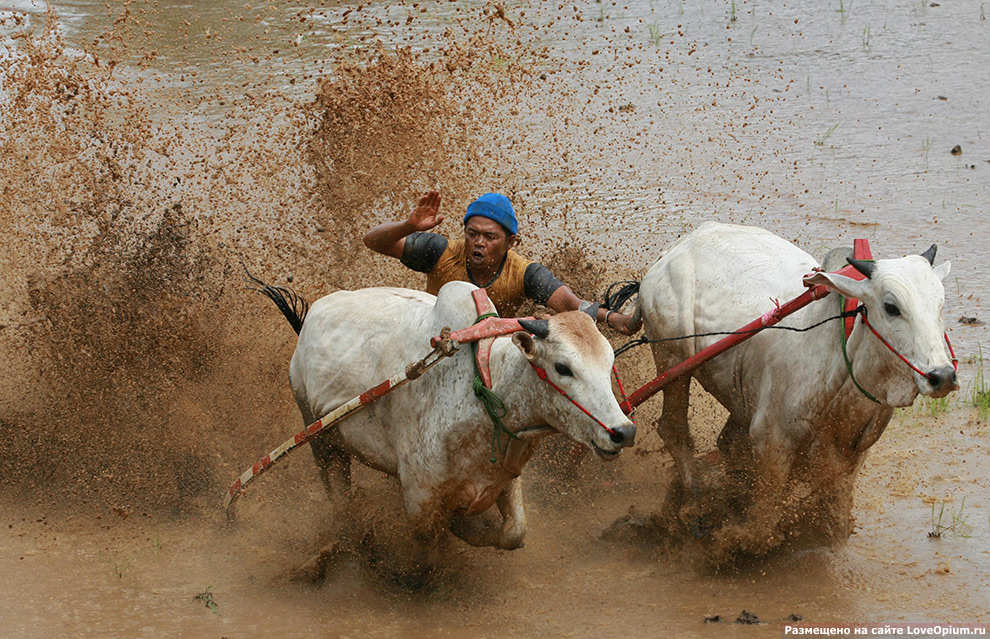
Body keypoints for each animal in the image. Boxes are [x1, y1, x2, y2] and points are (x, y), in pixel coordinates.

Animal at [264, 282, 636, 568]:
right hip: (320, 438)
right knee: (338, 493)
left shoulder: (505, 477)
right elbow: (429, 545)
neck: (484, 391)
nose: (623, 431)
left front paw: (473, 529)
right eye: (562, 367)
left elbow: (514, 532)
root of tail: (310, 318)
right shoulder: (420, 495)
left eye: (609, 361)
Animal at [640, 222, 956, 548]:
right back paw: (696, 504)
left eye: (941, 304)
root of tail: (675, 249)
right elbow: (761, 530)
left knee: (725, 442)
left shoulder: (852, 455)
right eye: (891, 307)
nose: (942, 376)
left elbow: (835, 527)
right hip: (672, 359)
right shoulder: (771, 443)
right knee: (673, 429)